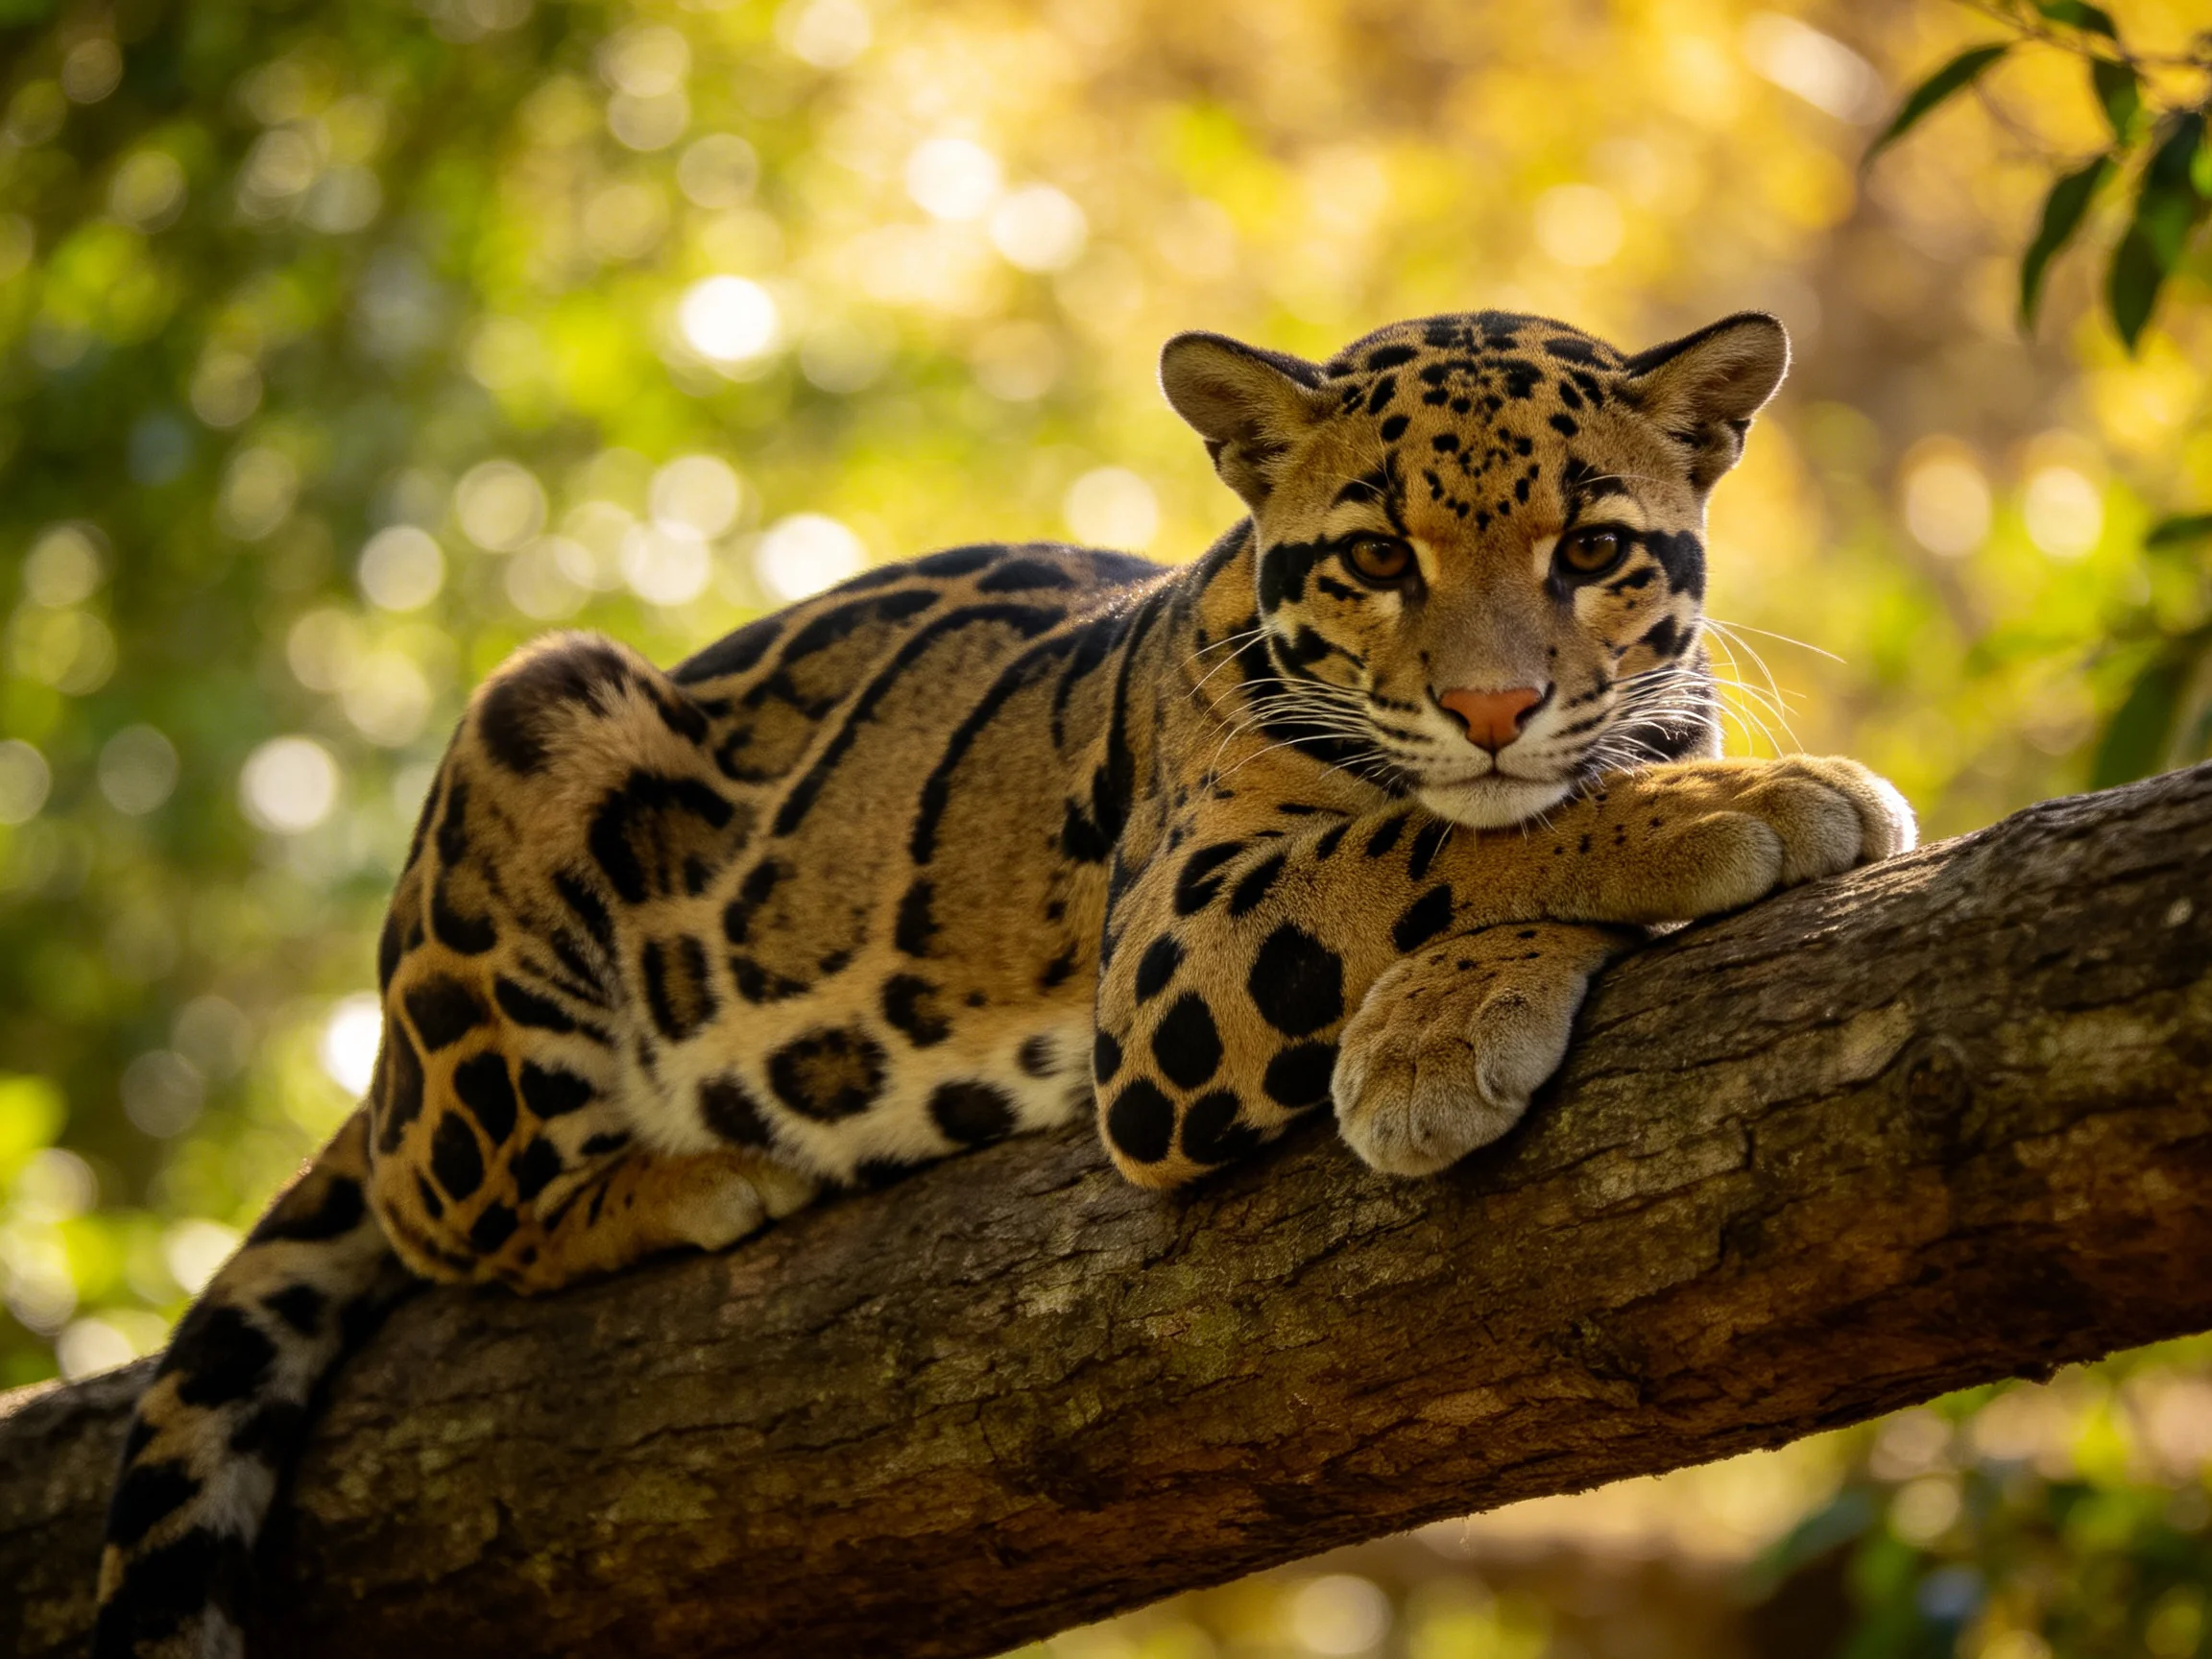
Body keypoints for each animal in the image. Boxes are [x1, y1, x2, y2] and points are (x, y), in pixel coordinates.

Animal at [93, 306, 1915, 1658]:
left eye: (1594, 547)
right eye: (1376, 559)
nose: (1491, 705)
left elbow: (1498, 825)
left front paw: (1443, 1022)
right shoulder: (1173, 958)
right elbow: (1426, 846)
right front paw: (1746, 805)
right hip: (535, 721)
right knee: (438, 1214)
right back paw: (695, 1179)